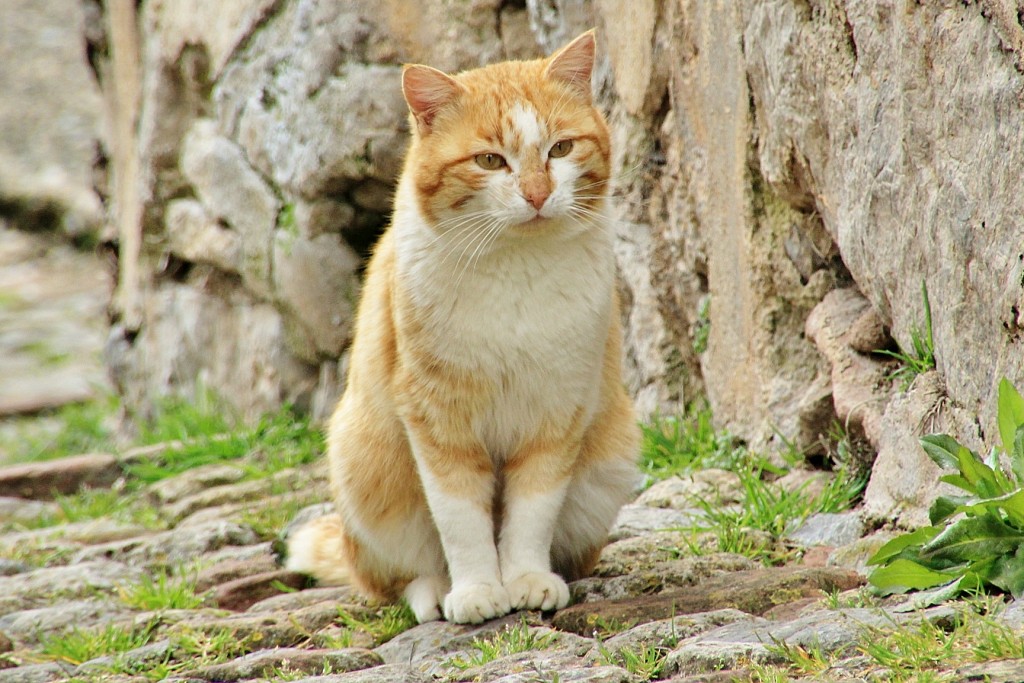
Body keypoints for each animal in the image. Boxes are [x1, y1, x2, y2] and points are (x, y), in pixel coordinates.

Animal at [286, 30, 638, 626]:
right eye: (490, 160)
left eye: (560, 150)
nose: (538, 194)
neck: (516, 272)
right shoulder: (437, 417)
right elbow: (460, 519)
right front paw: (476, 590)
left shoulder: (556, 412)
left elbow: (531, 512)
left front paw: (526, 579)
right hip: (361, 462)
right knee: (393, 576)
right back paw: (434, 592)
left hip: (609, 462)